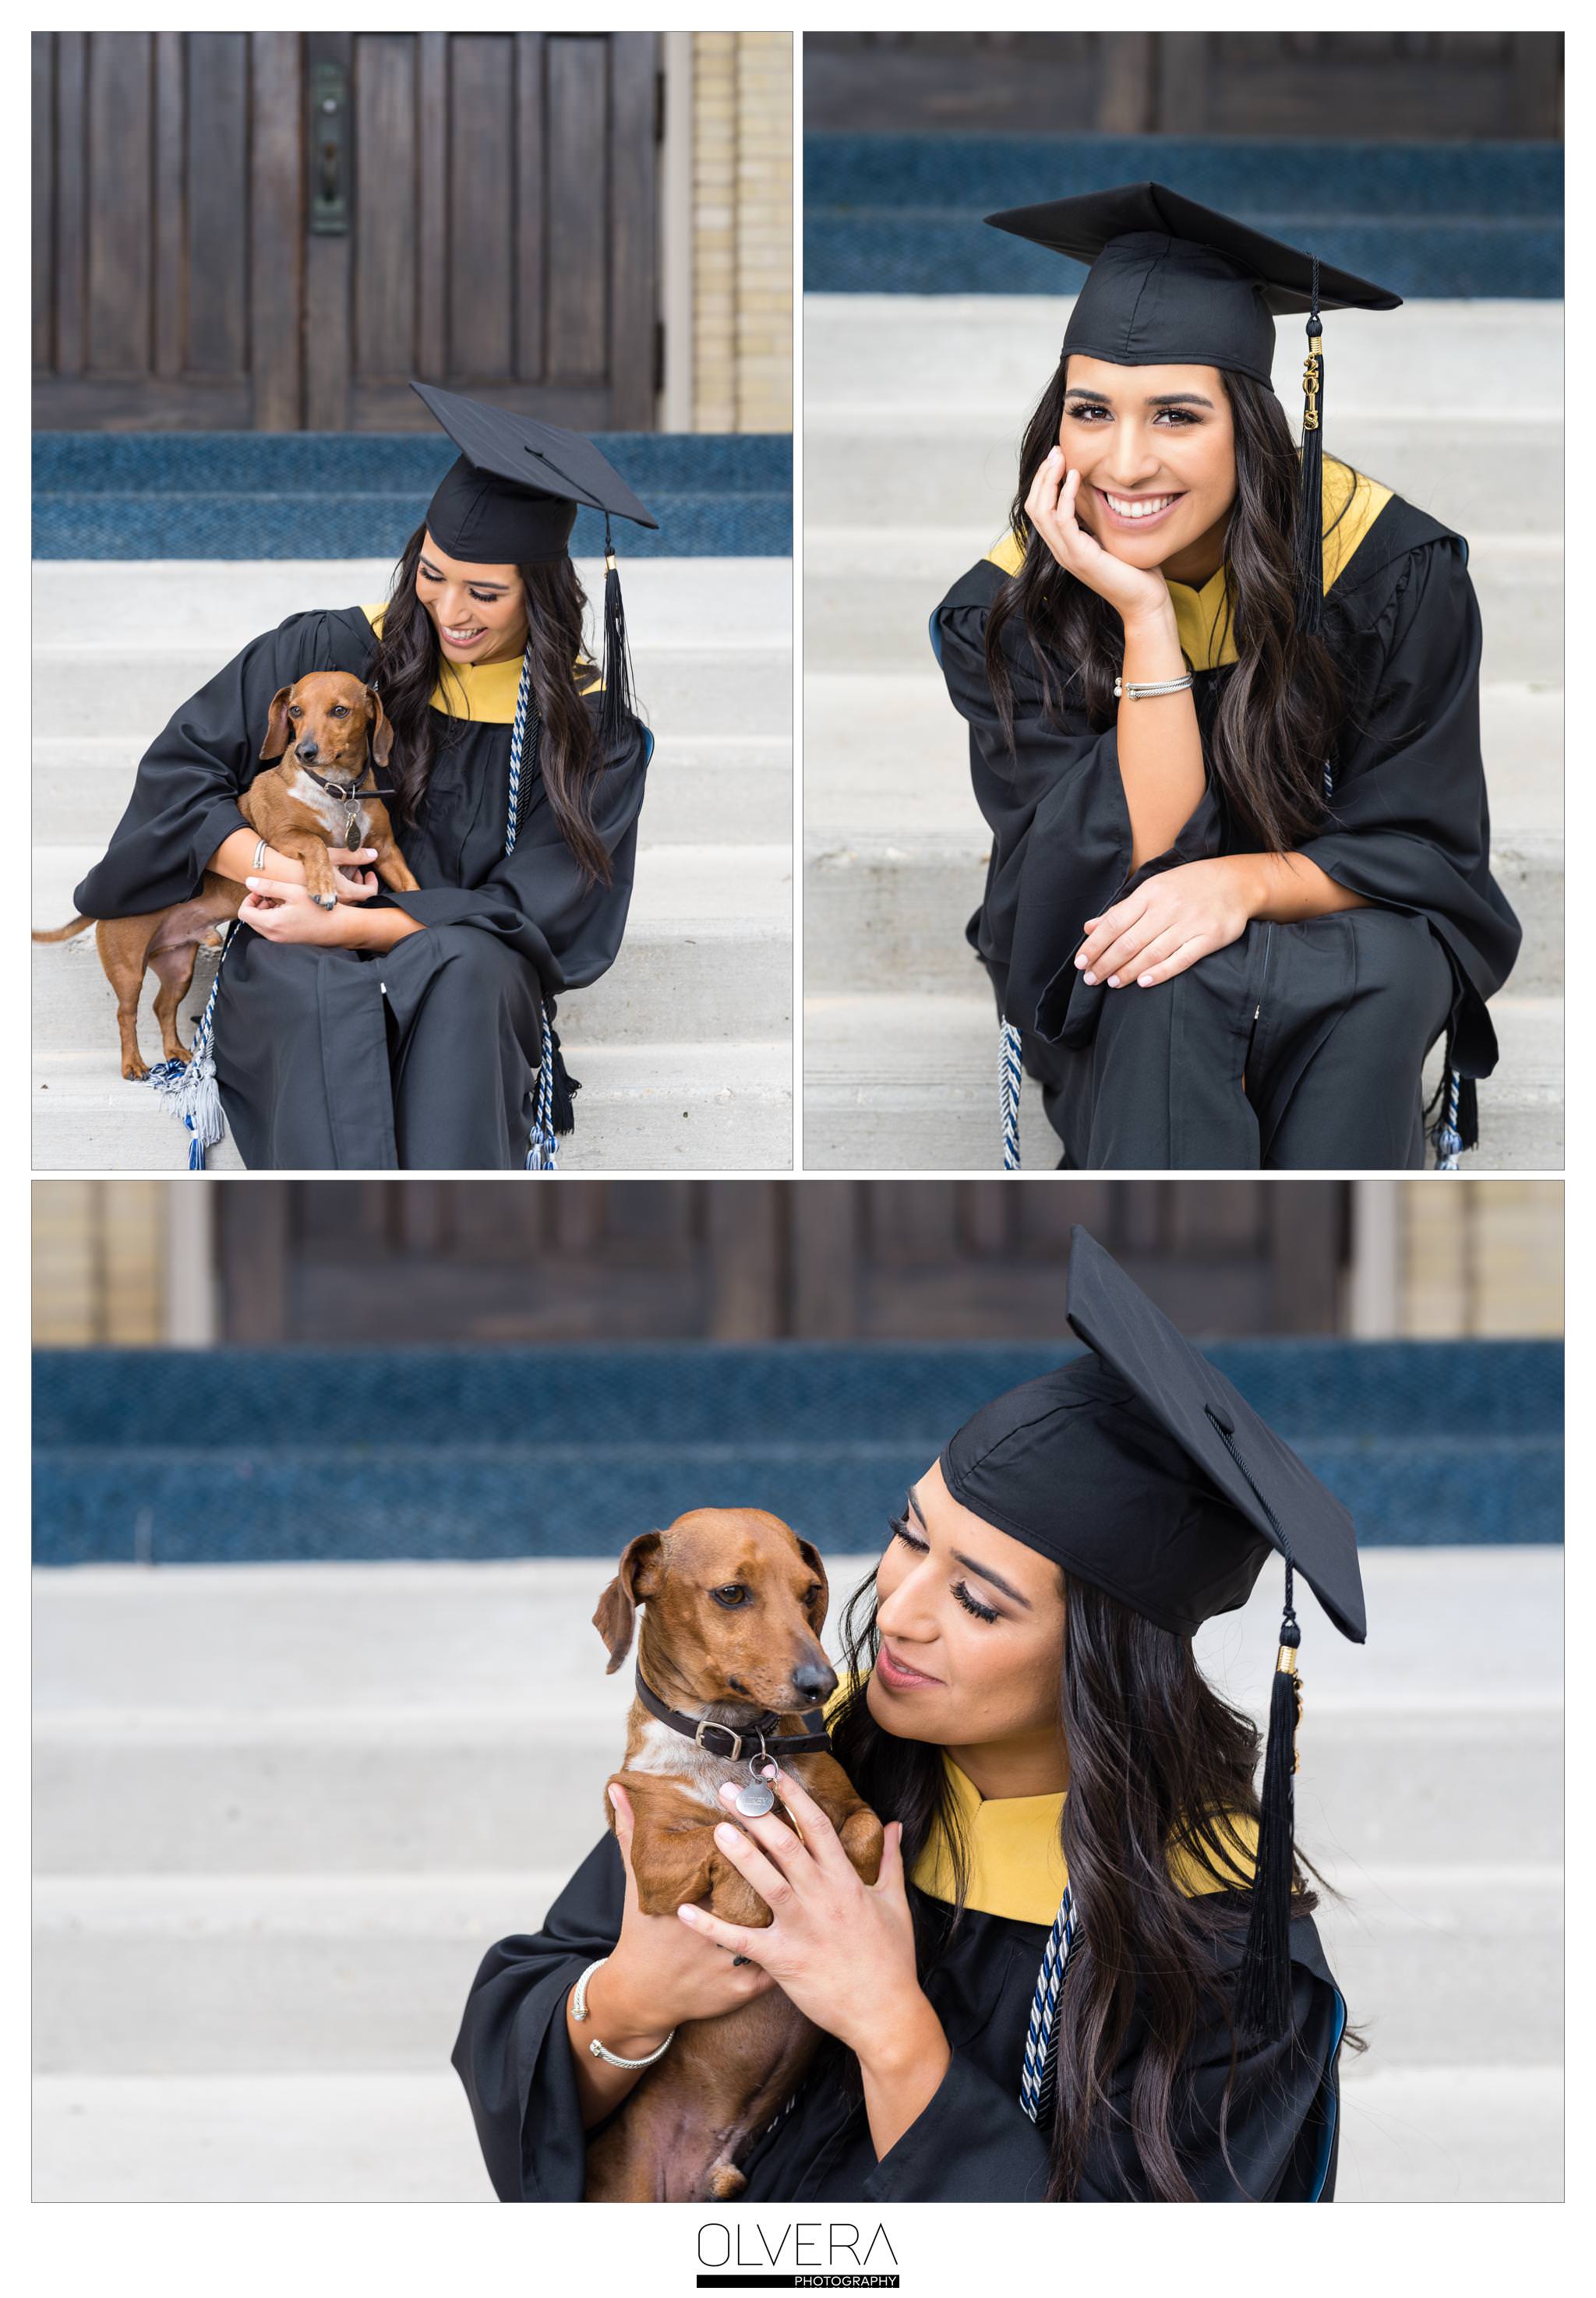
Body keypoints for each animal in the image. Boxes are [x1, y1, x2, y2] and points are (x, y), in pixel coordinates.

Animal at [38, 671, 425, 1084]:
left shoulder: (386, 850)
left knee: (162, 1007)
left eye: (340, 711)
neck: (335, 792)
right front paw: (324, 887)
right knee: (126, 1013)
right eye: (295, 711)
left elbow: (410, 884)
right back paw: (134, 1063)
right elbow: (315, 844)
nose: (305, 752)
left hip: (179, 967)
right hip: (128, 970)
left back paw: (176, 1052)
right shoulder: (283, 837)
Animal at [588, 1507, 888, 2206]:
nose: (821, 1683)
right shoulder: (651, 1856)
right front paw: (746, 1904)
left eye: (810, 1591)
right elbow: (729, 1841)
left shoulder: (847, 1806)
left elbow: (862, 1833)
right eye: (732, 1593)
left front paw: (851, 1889)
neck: (735, 1747)